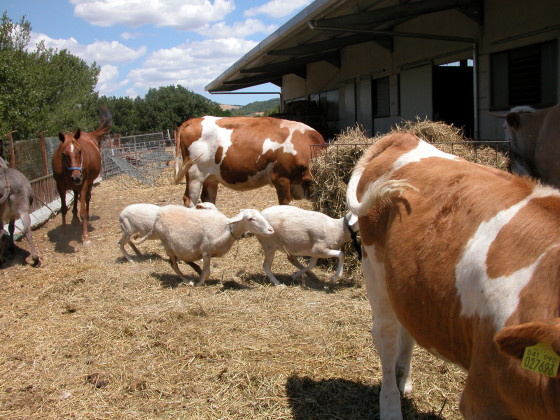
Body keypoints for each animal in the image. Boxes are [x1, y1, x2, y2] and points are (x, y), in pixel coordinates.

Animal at [52, 106, 111, 244]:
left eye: (80, 151)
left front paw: (85, 237)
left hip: (89, 182)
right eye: (64, 154)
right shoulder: (60, 185)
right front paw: (64, 232)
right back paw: (74, 219)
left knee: (86, 199)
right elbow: (63, 208)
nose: (76, 177)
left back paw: (86, 220)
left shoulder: (83, 183)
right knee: (75, 196)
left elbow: (83, 210)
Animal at [136, 206, 276, 288]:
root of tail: (157, 217)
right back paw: (188, 281)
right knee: (174, 265)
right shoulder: (206, 251)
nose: (271, 230)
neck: (225, 229)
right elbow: (207, 272)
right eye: (250, 218)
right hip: (167, 245)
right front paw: (199, 284)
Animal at [173, 115, 326, 208]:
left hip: (210, 178)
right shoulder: (281, 178)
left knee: (208, 199)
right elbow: (286, 206)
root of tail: (194, 120)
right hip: (194, 174)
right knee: (189, 199)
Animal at [346, 132, 560, 420]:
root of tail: (405, 137)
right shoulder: (483, 397)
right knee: (386, 334)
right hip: (374, 262)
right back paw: (391, 405)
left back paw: (404, 379)